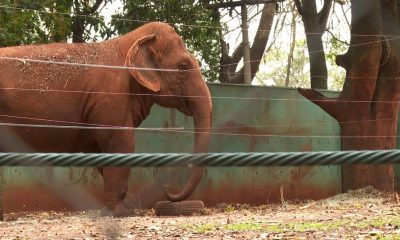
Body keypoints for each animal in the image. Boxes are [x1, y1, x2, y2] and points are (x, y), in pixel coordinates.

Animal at [0, 22, 212, 217]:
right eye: (183, 66)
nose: (167, 189)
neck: (128, 41)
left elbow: (101, 150)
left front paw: (122, 209)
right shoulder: (111, 96)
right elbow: (121, 142)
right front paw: (120, 213)